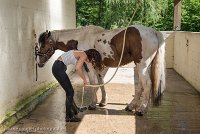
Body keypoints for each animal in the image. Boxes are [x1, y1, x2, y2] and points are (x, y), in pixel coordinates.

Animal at [36, 25, 166, 115]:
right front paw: (103, 101)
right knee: (141, 86)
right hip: (140, 67)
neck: (80, 37)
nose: (38, 63)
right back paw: (131, 106)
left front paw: (93, 104)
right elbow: (101, 82)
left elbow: (93, 83)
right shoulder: (98, 67)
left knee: (147, 84)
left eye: (43, 45)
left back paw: (141, 109)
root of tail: (153, 31)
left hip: (142, 66)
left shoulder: (89, 66)